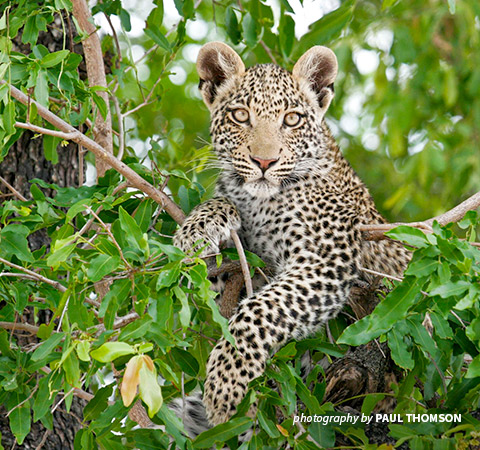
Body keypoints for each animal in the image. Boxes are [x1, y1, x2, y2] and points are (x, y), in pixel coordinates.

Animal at [172, 41, 408, 428]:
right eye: (241, 116)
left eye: (292, 119)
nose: (264, 163)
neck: (259, 201)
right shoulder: (239, 272)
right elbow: (220, 206)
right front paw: (195, 230)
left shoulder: (325, 260)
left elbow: (262, 309)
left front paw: (226, 381)